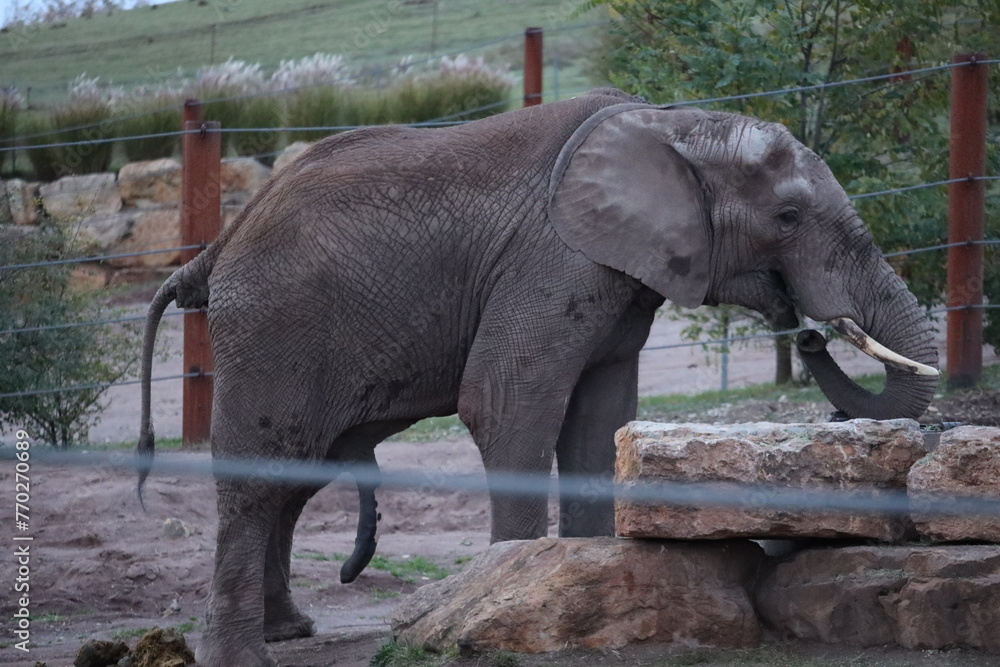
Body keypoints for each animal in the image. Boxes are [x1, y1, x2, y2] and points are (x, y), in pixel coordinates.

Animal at [137, 87, 938, 666]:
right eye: (788, 216)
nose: (807, 327)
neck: (676, 123)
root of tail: (220, 244)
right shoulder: (552, 259)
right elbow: (504, 404)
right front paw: (495, 599)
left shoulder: (616, 279)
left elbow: (599, 421)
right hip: (274, 327)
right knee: (261, 472)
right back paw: (246, 655)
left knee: (293, 474)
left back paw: (290, 631)